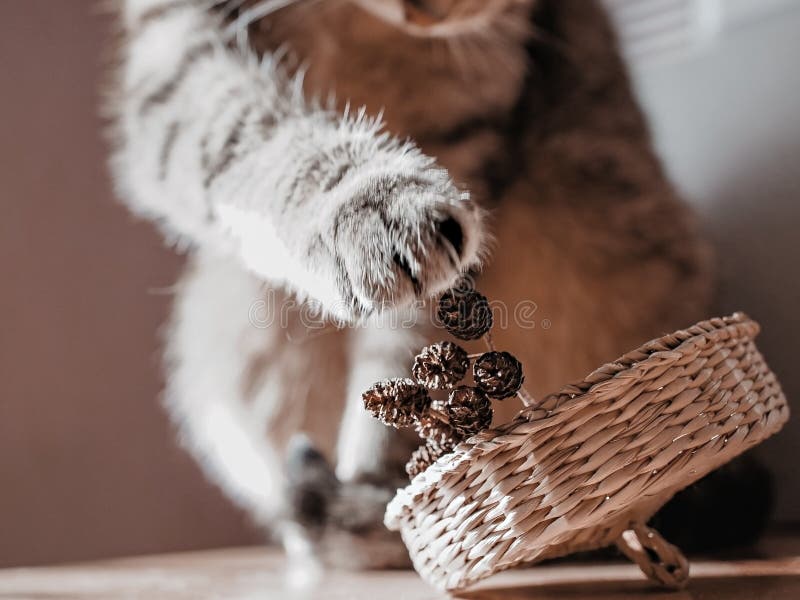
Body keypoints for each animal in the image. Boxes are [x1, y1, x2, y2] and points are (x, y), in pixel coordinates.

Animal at [111, 0, 712, 568]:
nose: (435, 14)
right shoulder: (178, 42)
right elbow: (254, 135)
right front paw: (364, 205)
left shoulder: (466, 134)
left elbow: (407, 346)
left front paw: (395, 486)